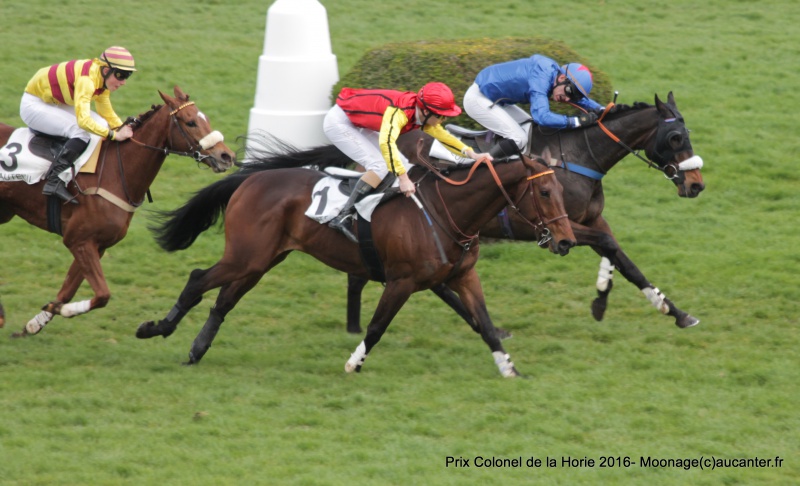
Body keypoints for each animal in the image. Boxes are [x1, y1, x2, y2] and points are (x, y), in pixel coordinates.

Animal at [0, 87, 234, 336]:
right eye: (190, 122)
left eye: (206, 119)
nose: (226, 156)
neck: (114, 171)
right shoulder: (78, 240)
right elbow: (103, 294)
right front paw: (63, 311)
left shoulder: (97, 245)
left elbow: (68, 290)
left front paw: (37, 321)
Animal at [136, 139, 576, 378]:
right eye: (544, 192)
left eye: (561, 190)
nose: (567, 241)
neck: (446, 211)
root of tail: (250, 180)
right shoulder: (401, 281)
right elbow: (377, 326)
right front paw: (353, 364)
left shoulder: (463, 277)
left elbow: (484, 324)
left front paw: (509, 369)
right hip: (246, 256)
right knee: (197, 278)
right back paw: (156, 329)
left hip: (262, 260)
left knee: (224, 300)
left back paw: (196, 350)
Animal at [346, 91, 708, 334]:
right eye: (675, 137)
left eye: (688, 134)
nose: (696, 185)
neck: (577, 156)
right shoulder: (559, 228)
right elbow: (607, 245)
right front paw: (602, 301)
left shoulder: (590, 219)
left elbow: (625, 260)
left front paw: (674, 311)